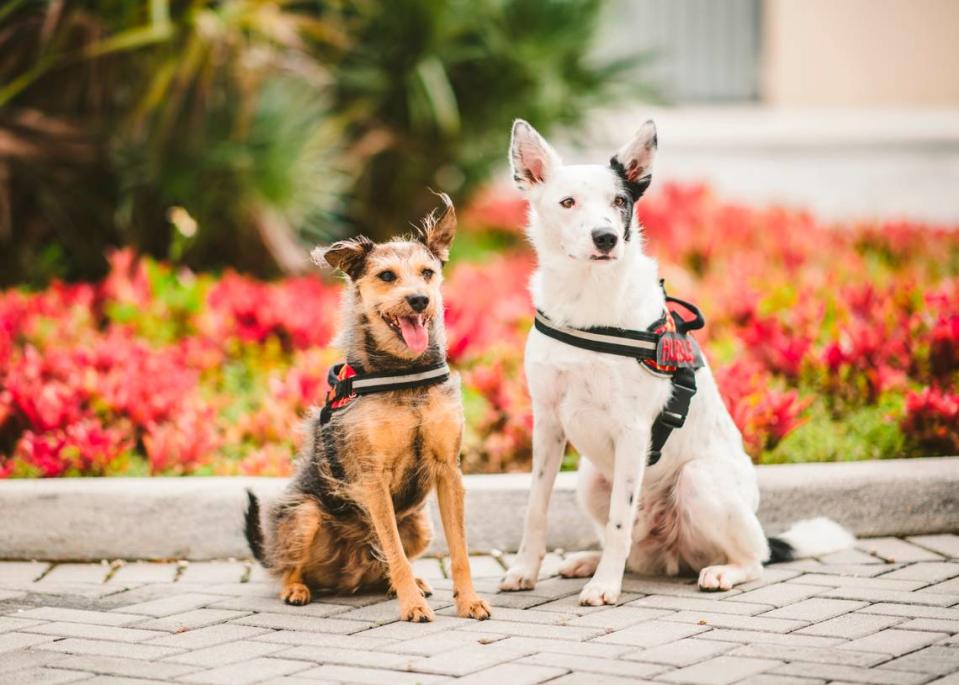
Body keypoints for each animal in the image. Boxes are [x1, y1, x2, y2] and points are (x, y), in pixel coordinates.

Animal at [244, 195, 492, 624]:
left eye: (427, 273)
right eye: (387, 276)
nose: (419, 299)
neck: (405, 375)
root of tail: (349, 576)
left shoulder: (448, 469)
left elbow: (458, 550)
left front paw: (469, 600)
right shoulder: (372, 477)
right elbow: (394, 550)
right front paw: (412, 605)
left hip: (420, 524)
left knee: (385, 563)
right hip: (303, 515)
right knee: (287, 565)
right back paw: (296, 588)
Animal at [498, 120, 852, 608]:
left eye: (620, 202)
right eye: (567, 203)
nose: (606, 238)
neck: (588, 300)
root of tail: (669, 550)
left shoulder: (632, 430)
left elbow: (619, 522)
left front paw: (605, 587)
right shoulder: (547, 423)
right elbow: (536, 507)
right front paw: (524, 570)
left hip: (698, 480)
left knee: (752, 558)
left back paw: (720, 571)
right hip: (591, 480)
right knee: (630, 543)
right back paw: (591, 561)